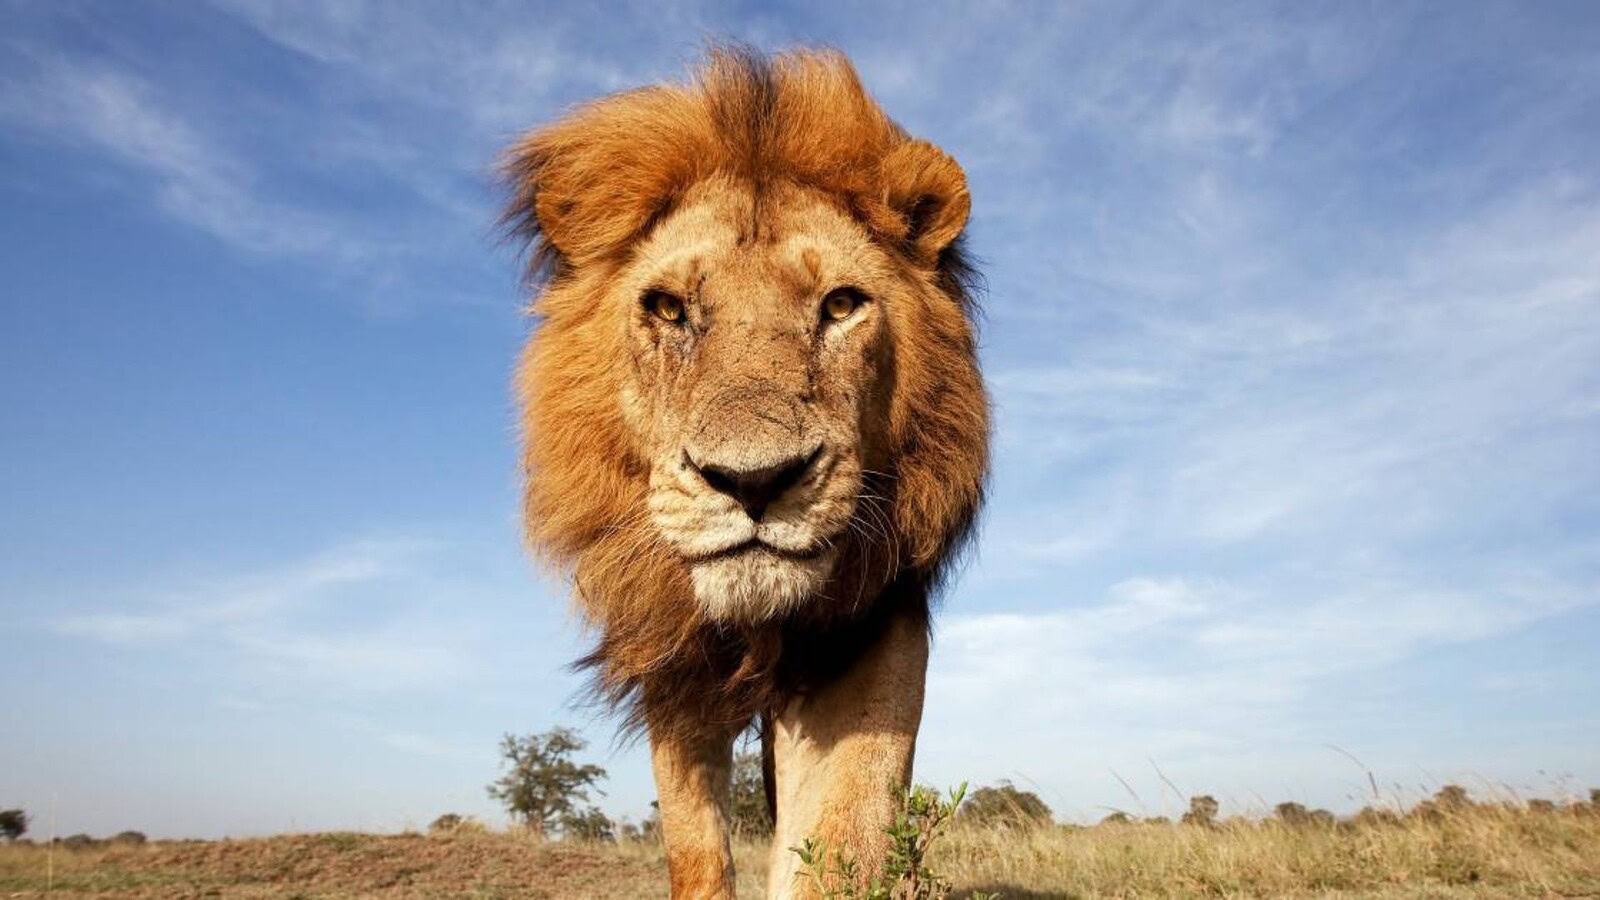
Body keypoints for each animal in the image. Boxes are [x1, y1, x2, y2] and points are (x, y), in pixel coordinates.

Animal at [504, 47, 988, 898]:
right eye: (669, 309)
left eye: (840, 305)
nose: (754, 483)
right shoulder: (670, 661)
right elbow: (695, 847)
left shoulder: (873, 625)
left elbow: (845, 832)